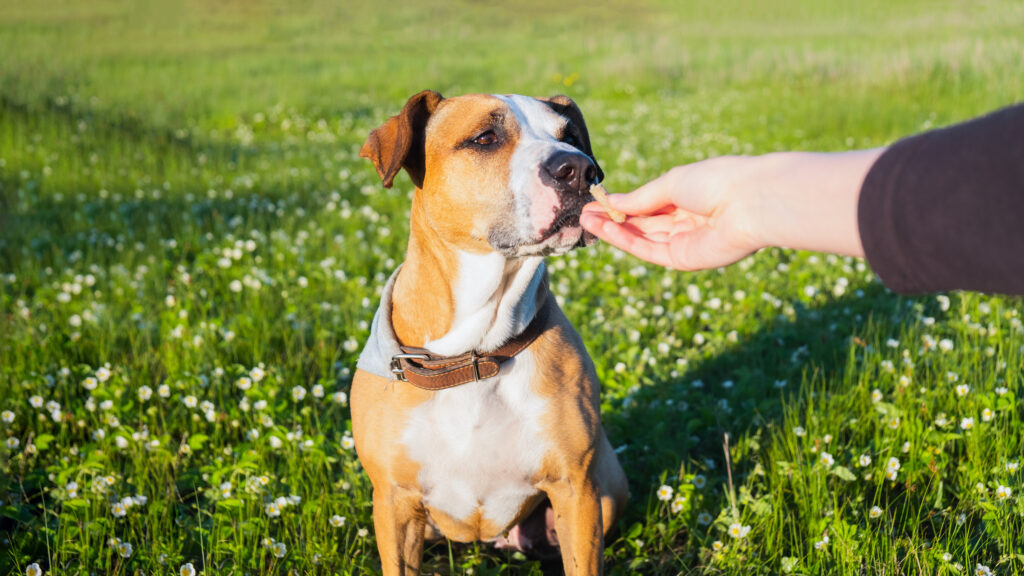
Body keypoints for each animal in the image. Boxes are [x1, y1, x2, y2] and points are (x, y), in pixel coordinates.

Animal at [352, 90, 626, 573]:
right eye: (485, 138)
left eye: (571, 137)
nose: (579, 169)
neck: (475, 353)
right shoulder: (393, 501)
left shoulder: (576, 489)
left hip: (606, 490)